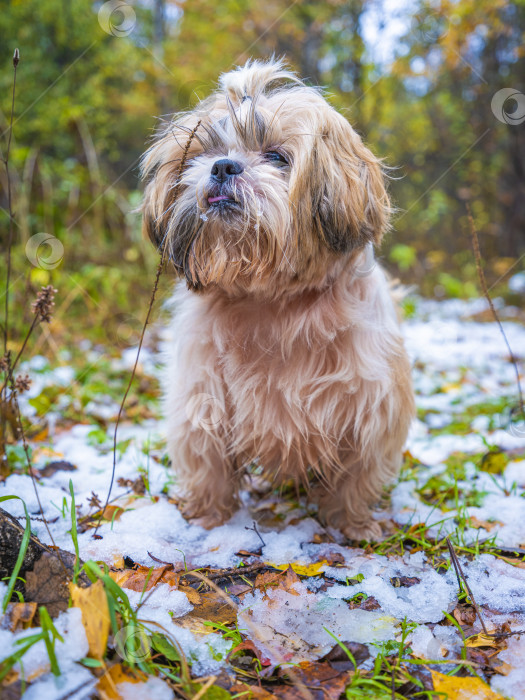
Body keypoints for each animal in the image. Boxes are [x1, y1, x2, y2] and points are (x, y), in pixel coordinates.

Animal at [140, 60, 414, 540]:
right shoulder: (201, 396)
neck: (269, 300)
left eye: (276, 158)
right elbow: (207, 460)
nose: (222, 166)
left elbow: (356, 475)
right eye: (200, 155)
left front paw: (352, 524)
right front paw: (209, 516)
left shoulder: (372, 407)